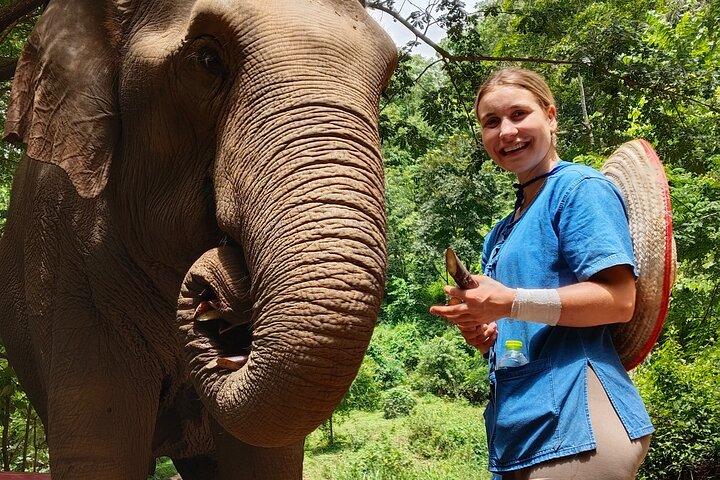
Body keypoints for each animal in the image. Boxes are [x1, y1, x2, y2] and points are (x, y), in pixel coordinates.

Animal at [0, 0, 397, 478]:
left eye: (386, 80)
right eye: (207, 59)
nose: (210, 300)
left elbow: (263, 459)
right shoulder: (71, 269)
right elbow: (101, 452)